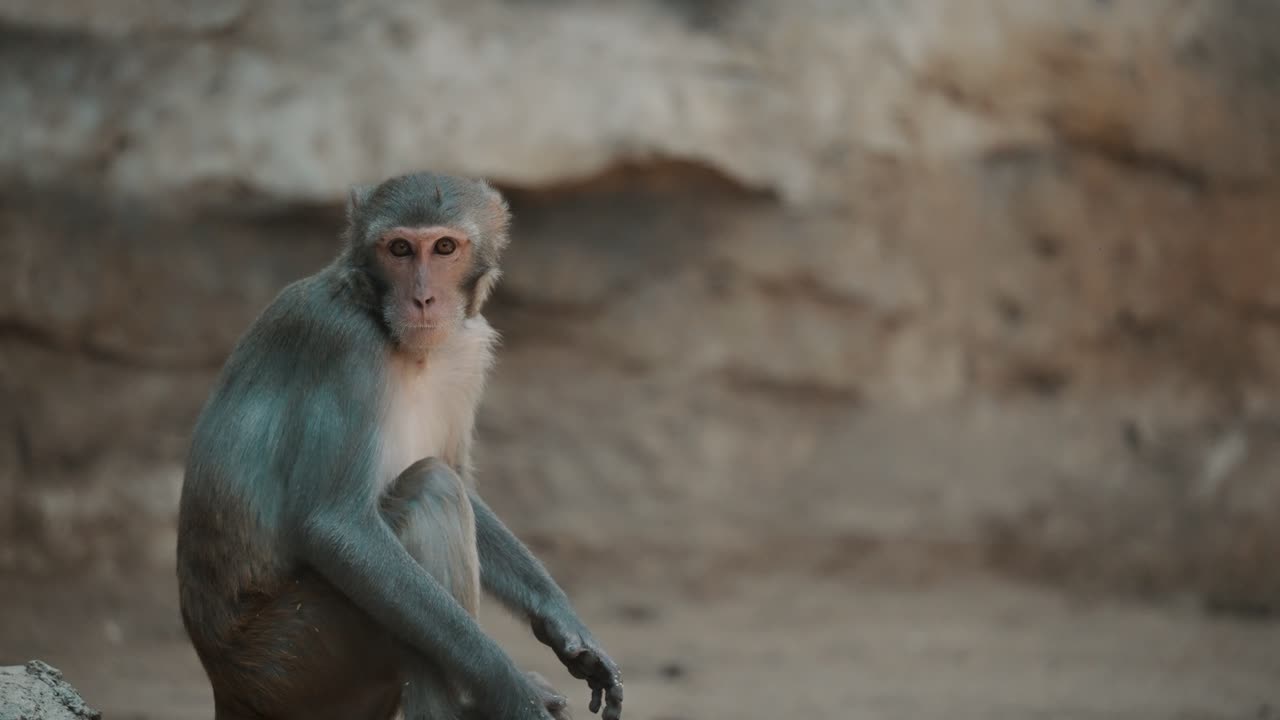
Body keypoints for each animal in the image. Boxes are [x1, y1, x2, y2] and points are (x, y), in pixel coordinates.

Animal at [176, 172, 624, 720]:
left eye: (445, 247)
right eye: (400, 249)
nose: (423, 299)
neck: (396, 335)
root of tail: (227, 688)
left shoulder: (467, 348)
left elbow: (460, 477)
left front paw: (562, 620)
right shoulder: (347, 345)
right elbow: (336, 524)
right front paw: (510, 688)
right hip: (294, 657)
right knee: (430, 493)